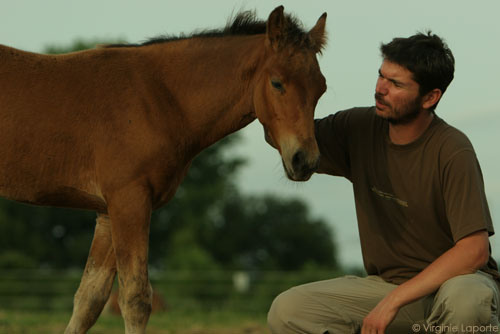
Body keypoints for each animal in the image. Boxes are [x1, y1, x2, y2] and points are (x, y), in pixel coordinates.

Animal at [0, 5, 326, 334]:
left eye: (321, 88)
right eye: (277, 82)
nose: (305, 160)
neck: (159, 98)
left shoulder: (107, 211)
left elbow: (89, 299)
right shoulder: (129, 201)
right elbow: (135, 298)